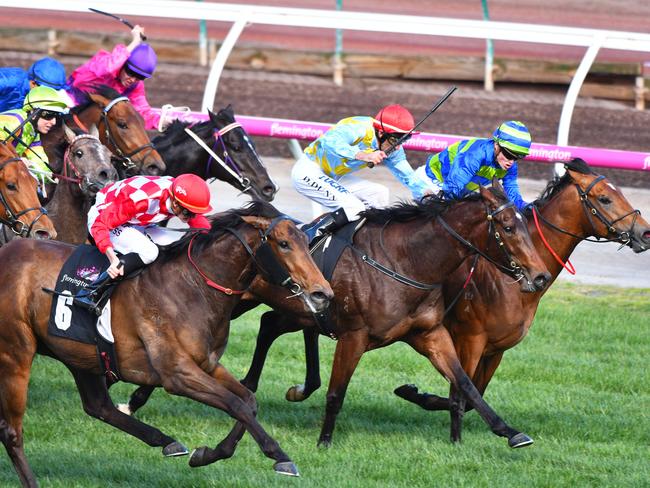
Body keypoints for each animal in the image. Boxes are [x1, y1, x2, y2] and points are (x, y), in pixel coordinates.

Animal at [0, 200, 332, 486]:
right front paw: (281, 456)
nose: (323, 293)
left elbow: (249, 402)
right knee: (12, 431)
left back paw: (167, 441)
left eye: (307, 242)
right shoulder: (178, 374)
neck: (192, 288)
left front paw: (206, 454)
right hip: (16, 352)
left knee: (99, 407)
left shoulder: (207, 364)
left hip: (81, 354)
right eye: (284, 244)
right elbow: (235, 403)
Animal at [124, 180, 548, 450]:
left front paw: (509, 431)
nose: (541, 275)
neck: (405, 261)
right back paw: (138, 397)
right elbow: (335, 393)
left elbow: (466, 384)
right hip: (240, 299)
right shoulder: (354, 336)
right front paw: (324, 441)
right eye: (508, 226)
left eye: (525, 223)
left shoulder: (430, 333)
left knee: (268, 325)